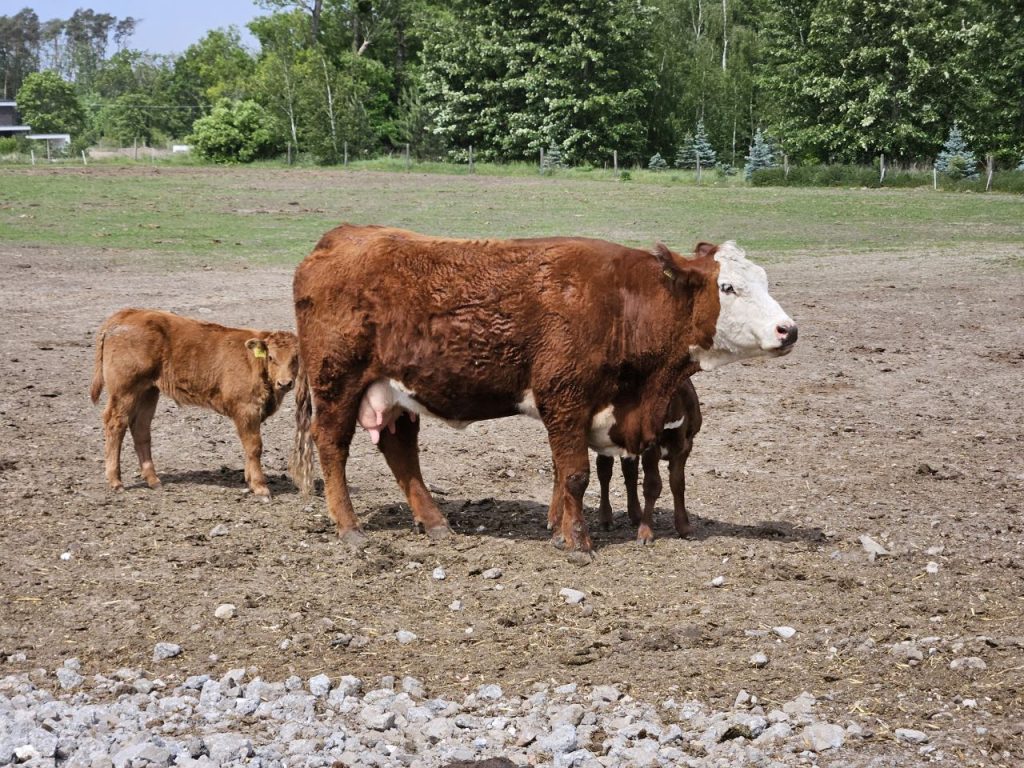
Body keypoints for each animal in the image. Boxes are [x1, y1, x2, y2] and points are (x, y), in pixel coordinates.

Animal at [91, 309, 301, 501]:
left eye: (296, 358)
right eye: (271, 357)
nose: (285, 383)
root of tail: (127, 313)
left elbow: (249, 447)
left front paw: (250, 481)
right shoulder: (246, 409)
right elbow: (254, 446)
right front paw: (259, 486)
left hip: (148, 390)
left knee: (141, 428)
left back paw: (153, 480)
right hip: (125, 389)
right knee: (116, 423)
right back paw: (116, 481)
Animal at [292, 225, 794, 557]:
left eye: (765, 282)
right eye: (728, 287)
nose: (788, 329)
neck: (623, 307)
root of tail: (340, 237)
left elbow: (564, 473)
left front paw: (560, 529)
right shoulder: (565, 398)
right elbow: (574, 475)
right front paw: (577, 541)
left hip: (395, 392)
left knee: (401, 451)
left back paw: (435, 524)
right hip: (337, 383)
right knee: (332, 446)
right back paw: (350, 528)